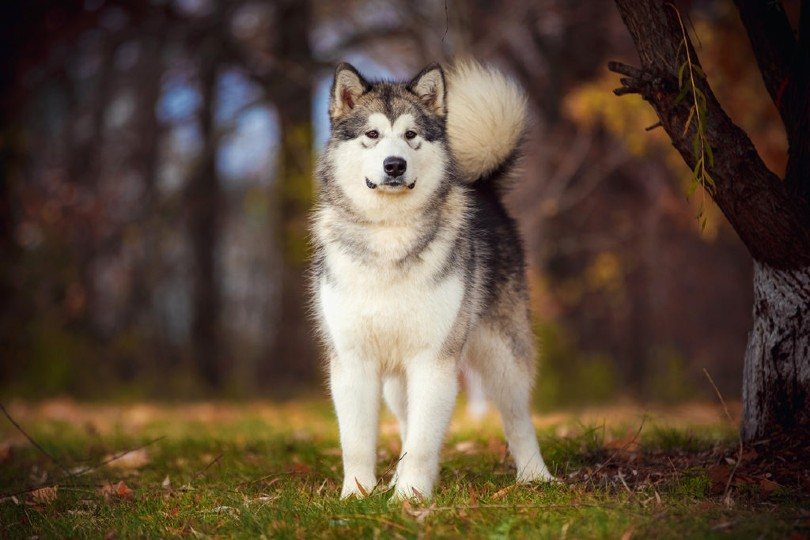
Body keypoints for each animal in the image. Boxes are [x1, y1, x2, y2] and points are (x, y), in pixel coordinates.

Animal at [310, 61, 556, 500]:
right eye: (372, 134)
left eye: (411, 135)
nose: (394, 165)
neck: (390, 234)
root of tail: (483, 187)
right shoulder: (354, 361)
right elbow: (357, 441)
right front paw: (357, 495)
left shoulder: (434, 359)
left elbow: (424, 440)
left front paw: (410, 497)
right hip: (396, 378)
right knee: (407, 418)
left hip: (502, 354)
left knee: (517, 417)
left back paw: (535, 475)